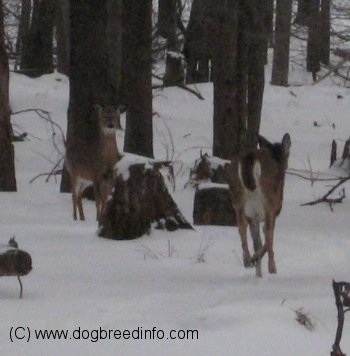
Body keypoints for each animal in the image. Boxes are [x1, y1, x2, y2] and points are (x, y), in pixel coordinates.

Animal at [227, 134, 290, 278]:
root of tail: (249, 156)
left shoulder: (254, 216)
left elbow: (257, 242)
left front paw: (258, 273)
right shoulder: (274, 210)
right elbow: (267, 238)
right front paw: (268, 267)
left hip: (238, 201)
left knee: (241, 228)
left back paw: (247, 260)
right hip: (269, 202)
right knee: (268, 234)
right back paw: (269, 266)